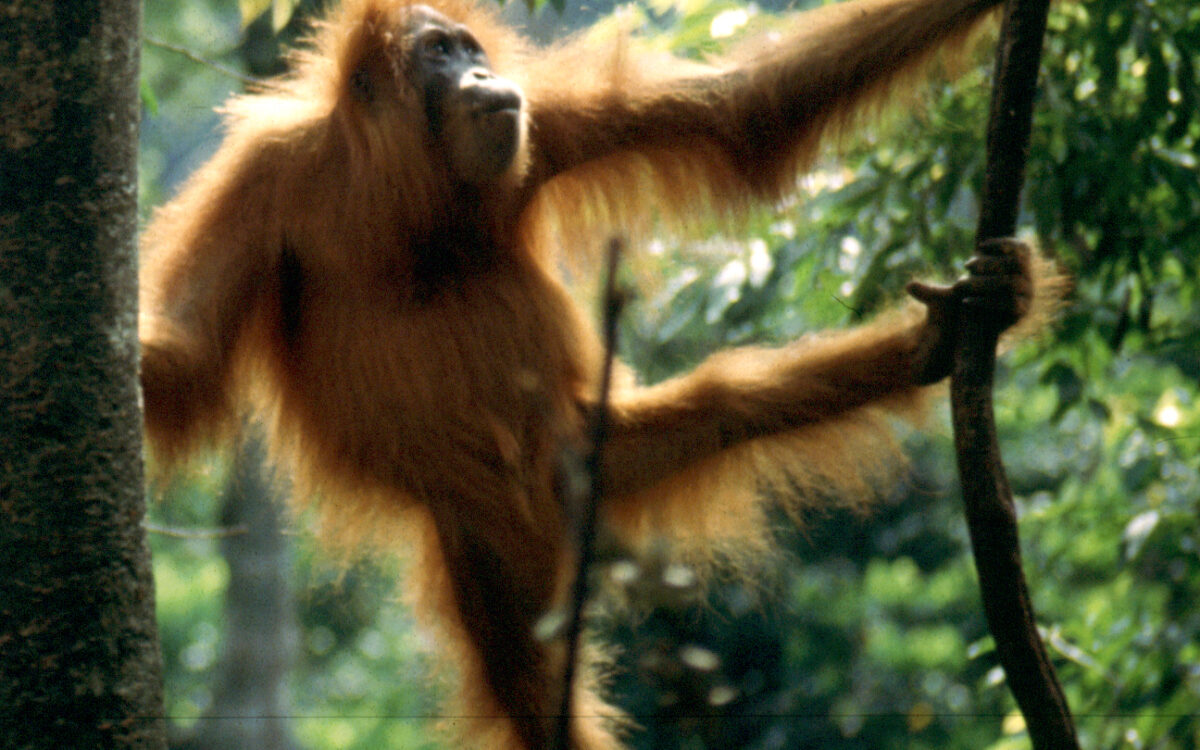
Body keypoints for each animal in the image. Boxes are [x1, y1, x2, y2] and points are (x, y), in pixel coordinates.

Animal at [139, 0, 1054, 747]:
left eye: (470, 49)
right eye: (439, 53)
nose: (482, 74)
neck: (406, 198)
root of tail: (558, 505)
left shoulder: (542, 121)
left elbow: (744, 109)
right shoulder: (265, 176)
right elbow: (185, 351)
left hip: (598, 451)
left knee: (730, 403)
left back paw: (939, 338)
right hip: (485, 544)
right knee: (526, 686)